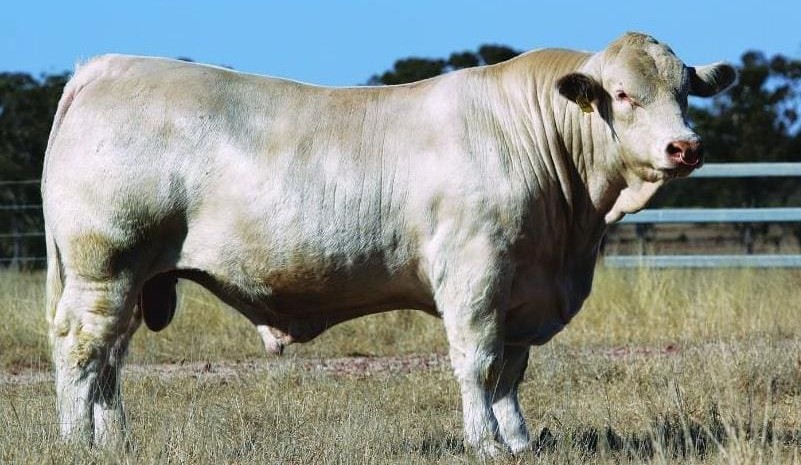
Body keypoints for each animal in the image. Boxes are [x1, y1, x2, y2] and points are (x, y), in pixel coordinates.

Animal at [42, 32, 735, 456]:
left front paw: (518, 441)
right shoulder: (476, 273)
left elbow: (512, 370)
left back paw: (116, 442)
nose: (686, 147)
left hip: (136, 278)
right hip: (105, 265)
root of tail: (106, 67)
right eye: (622, 94)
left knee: (111, 359)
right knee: (81, 351)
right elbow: (479, 362)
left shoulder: (523, 289)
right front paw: (484, 442)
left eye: (685, 92)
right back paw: (76, 443)